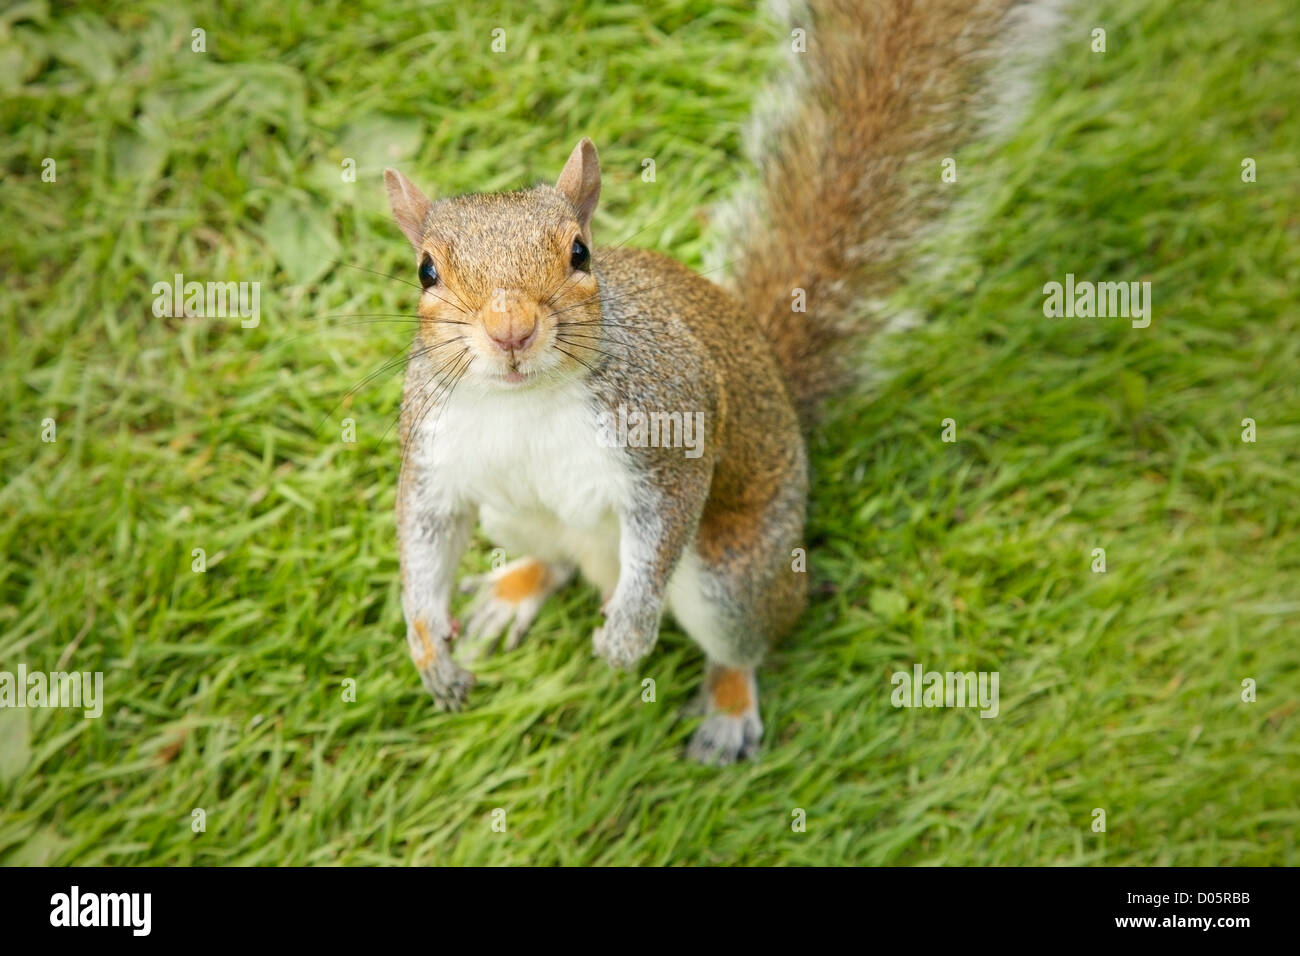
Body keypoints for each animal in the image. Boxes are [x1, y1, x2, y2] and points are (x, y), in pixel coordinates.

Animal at [379, 0, 1019, 764]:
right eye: (425, 271)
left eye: (580, 253)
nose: (510, 329)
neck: (525, 400)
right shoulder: (433, 454)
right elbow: (423, 541)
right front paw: (428, 652)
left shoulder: (668, 430)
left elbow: (664, 523)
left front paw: (626, 637)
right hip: (512, 516)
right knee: (556, 560)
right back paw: (514, 589)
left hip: (730, 574)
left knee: (742, 639)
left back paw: (728, 706)